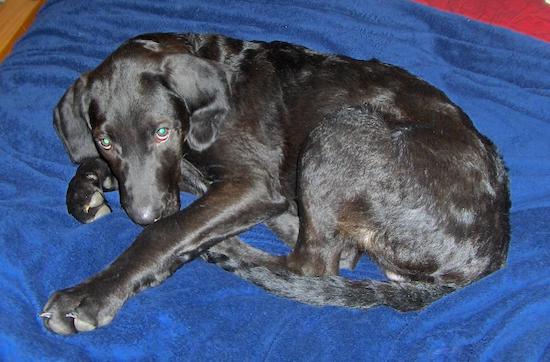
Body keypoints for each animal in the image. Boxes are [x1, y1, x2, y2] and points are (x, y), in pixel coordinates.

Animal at [41, 33, 512, 334]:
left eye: (162, 132)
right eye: (105, 141)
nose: (142, 213)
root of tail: (490, 253)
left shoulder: (252, 183)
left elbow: (167, 232)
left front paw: (90, 296)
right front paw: (85, 189)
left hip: (338, 131)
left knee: (314, 265)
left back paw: (228, 249)